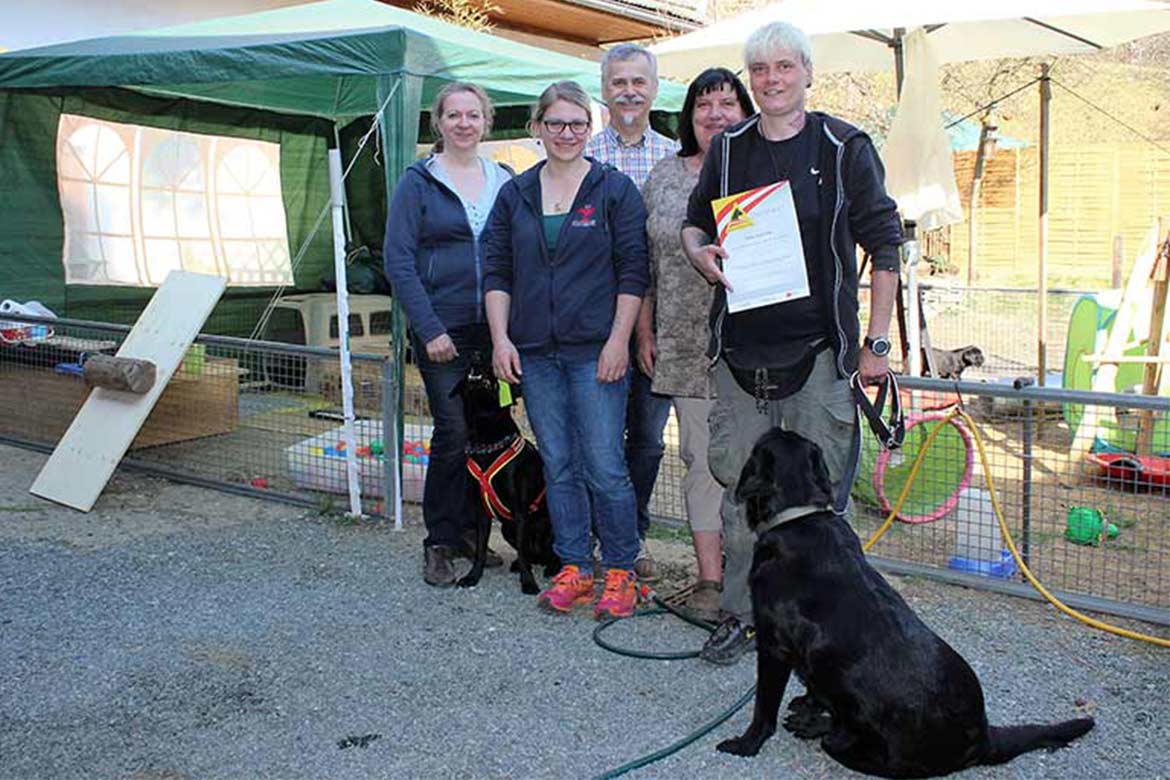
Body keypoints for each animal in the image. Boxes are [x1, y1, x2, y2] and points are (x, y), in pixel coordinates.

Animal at [449, 357, 559, 591]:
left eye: (492, 368)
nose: (476, 355)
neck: (487, 442)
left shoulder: (519, 510)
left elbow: (522, 550)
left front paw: (528, 583)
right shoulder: (481, 510)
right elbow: (480, 548)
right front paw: (473, 576)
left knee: (552, 554)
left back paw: (551, 567)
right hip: (507, 529)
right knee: (528, 554)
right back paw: (519, 564)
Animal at [716, 430, 1090, 776]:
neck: (799, 516)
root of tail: (983, 737)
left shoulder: (773, 647)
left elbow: (764, 708)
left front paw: (746, 744)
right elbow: (812, 681)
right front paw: (810, 702)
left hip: (855, 748)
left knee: (836, 738)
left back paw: (816, 727)